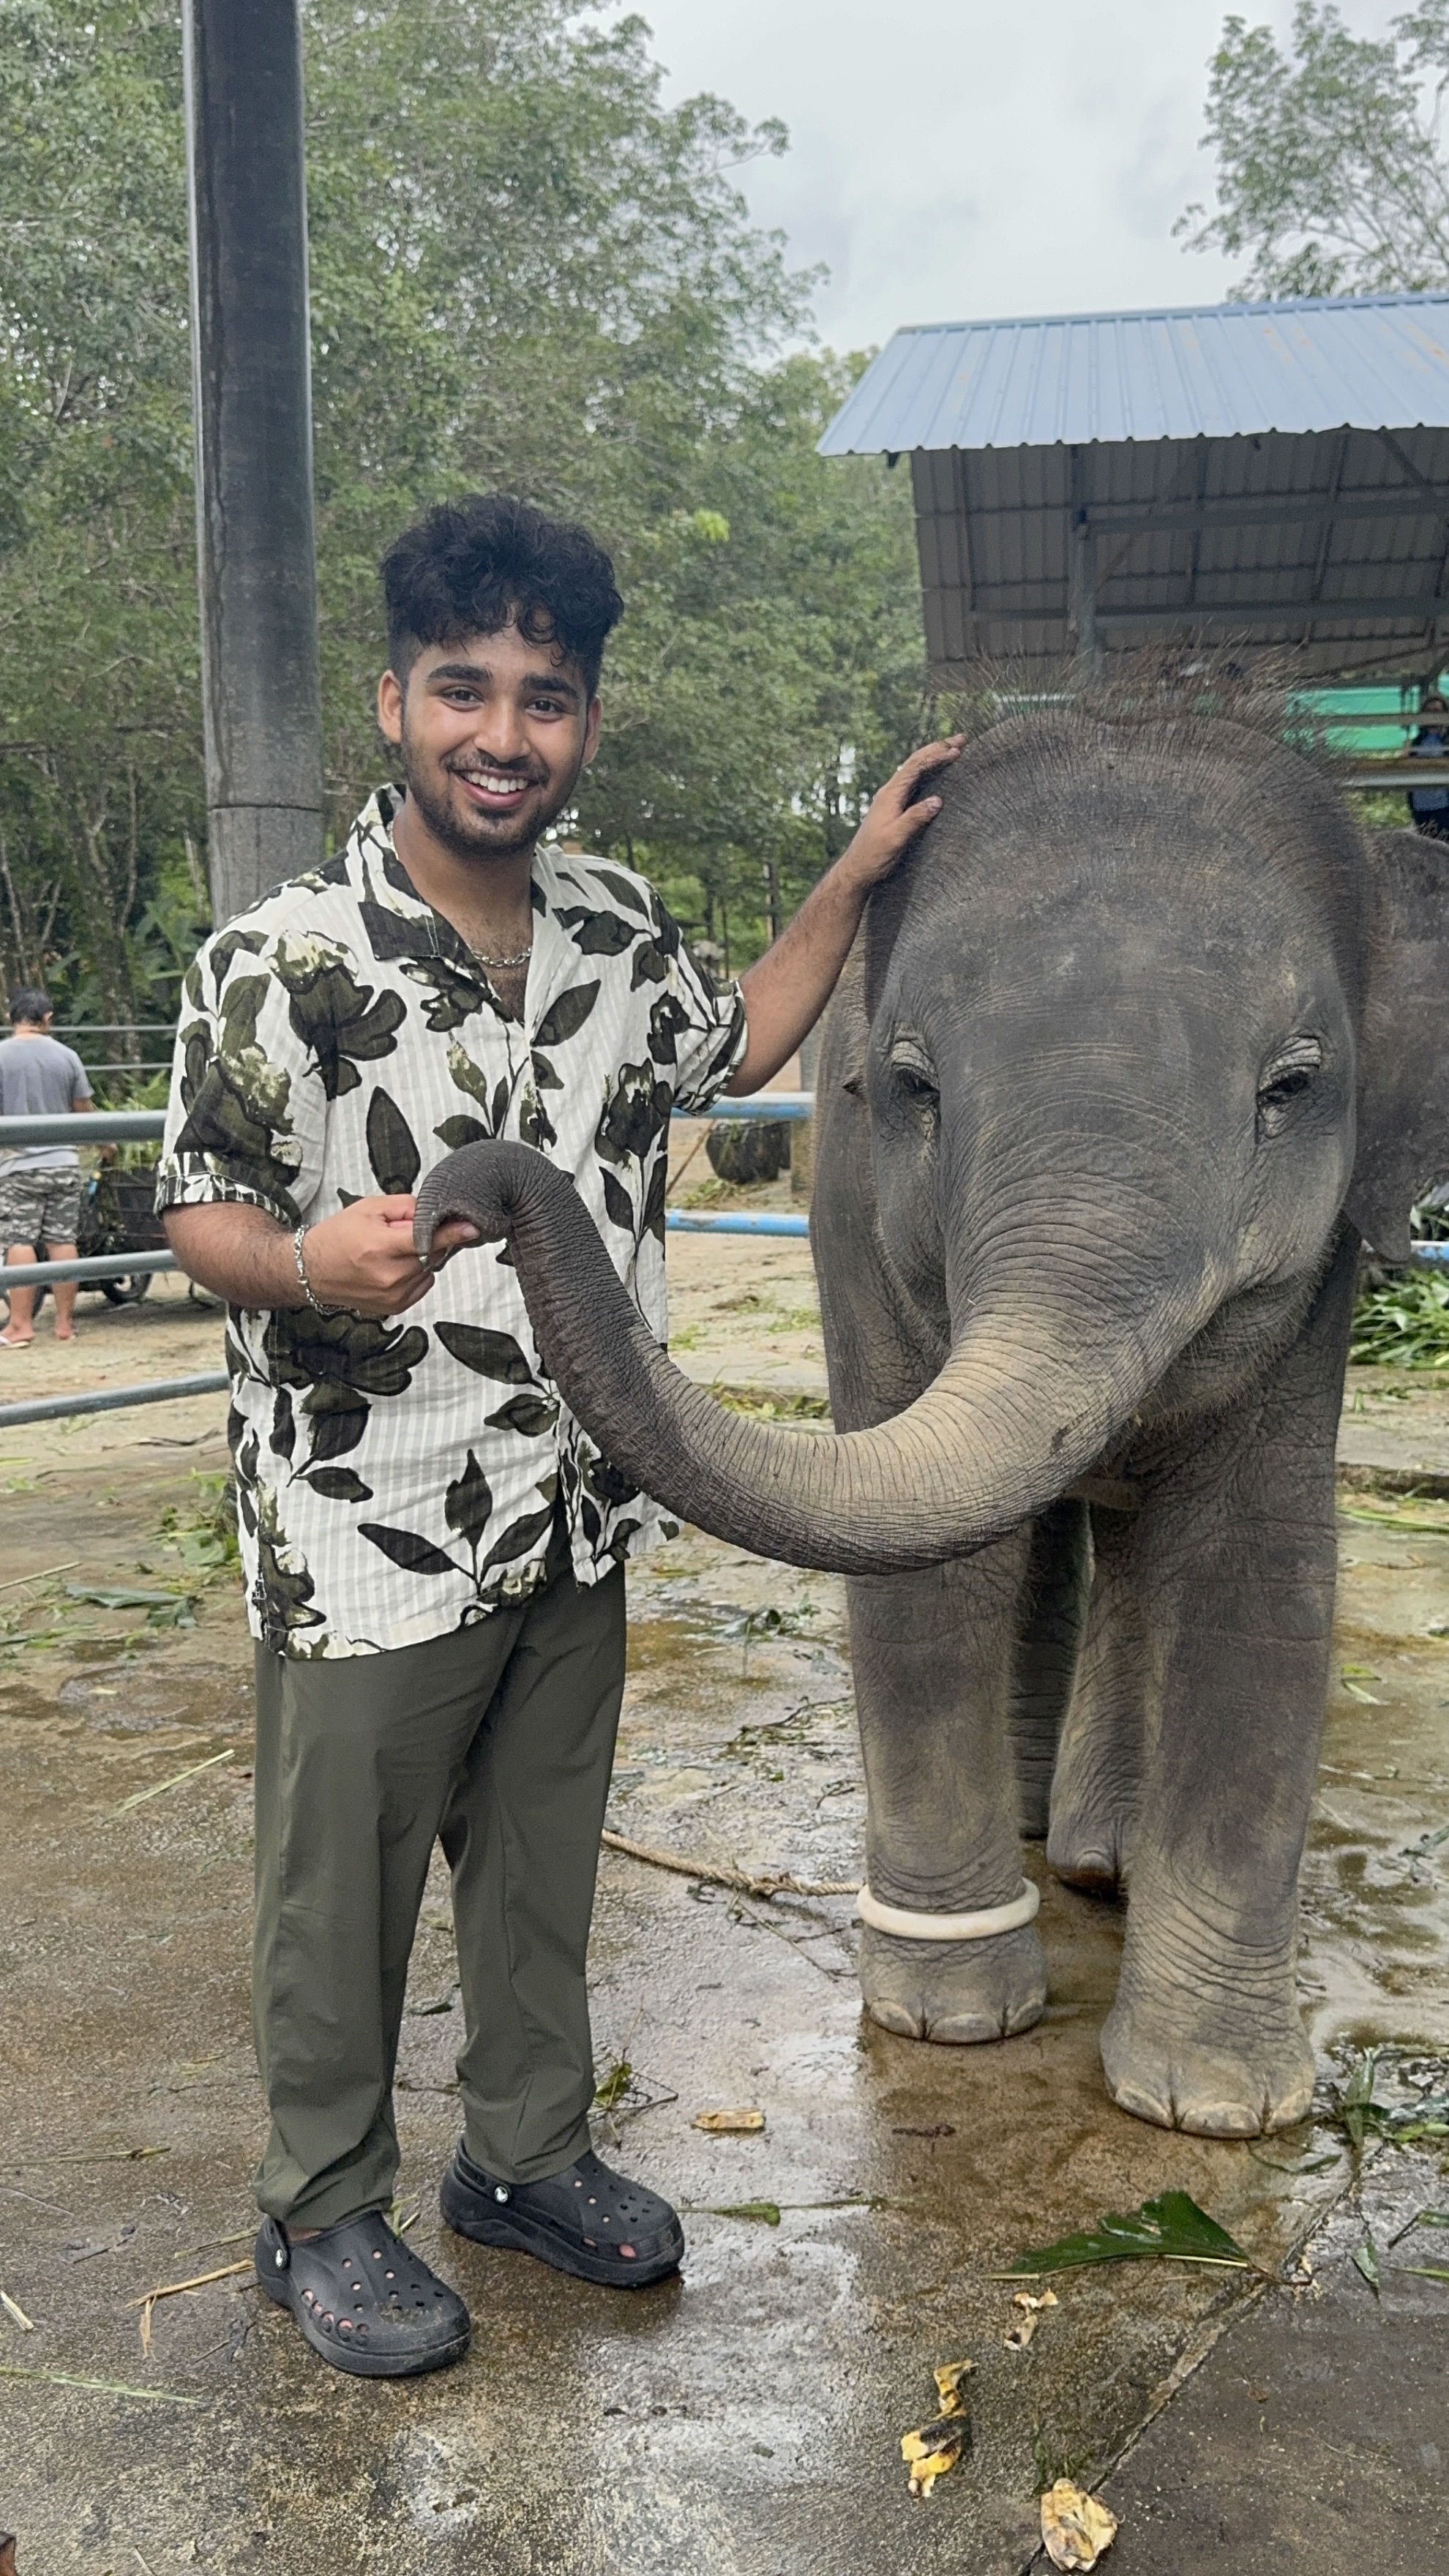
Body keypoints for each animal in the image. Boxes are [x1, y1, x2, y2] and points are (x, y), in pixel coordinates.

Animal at [415, 709, 1449, 2137]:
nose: (456, 1200)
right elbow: (933, 1571)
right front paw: (949, 2020)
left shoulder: (1320, 1281)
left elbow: (1262, 1572)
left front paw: (1216, 2105)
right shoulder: (854, 1214)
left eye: (1292, 1087)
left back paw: (1100, 1861)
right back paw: (1050, 1842)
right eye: (910, 1085)